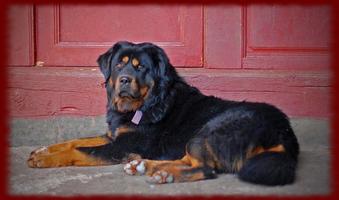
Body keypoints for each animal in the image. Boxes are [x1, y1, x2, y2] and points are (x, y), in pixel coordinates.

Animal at [28, 41, 300, 186]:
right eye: (119, 64)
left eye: (141, 68)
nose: (124, 79)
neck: (143, 106)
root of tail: (284, 132)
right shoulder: (113, 135)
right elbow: (74, 141)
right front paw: (43, 150)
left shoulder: (124, 145)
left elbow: (79, 150)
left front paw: (45, 159)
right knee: (190, 159)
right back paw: (146, 166)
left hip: (210, 130)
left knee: (205, 168)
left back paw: (162, 174)